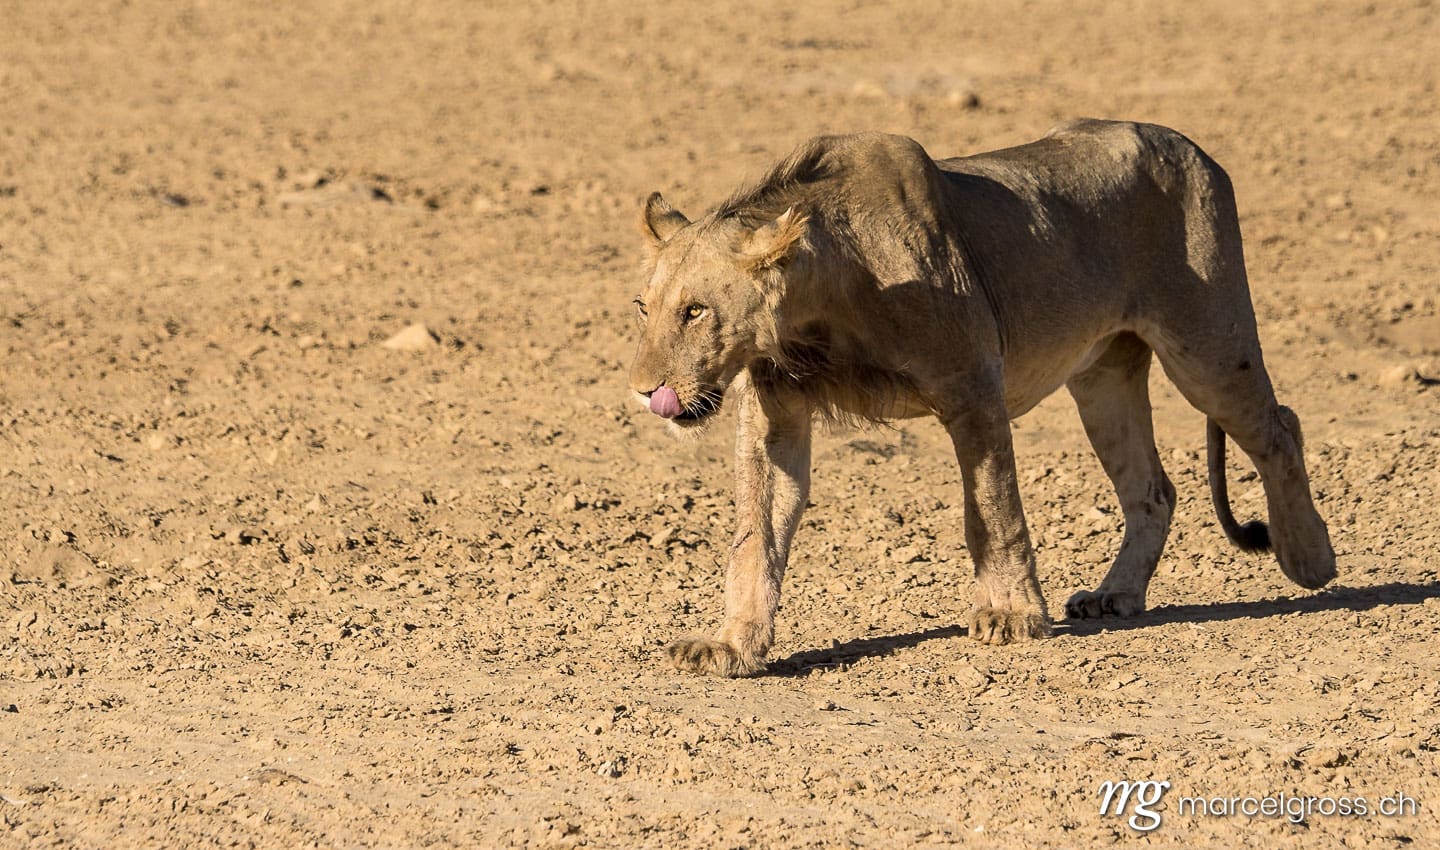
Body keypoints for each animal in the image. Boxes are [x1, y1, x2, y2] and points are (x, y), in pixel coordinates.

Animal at [628, 119, 1336, 677]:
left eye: (696, 310)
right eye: (645, 307)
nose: (643, 392)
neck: (818, 307)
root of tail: (1192, 146)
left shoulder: (973, 386)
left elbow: (993, 510)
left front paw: (1011, 615)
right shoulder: (775, 414)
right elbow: (757, 533)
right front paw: (732, 646)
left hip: (1207, 344)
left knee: (1279, 426)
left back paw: (1309, 559)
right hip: (1102, 377)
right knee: (1154, 489)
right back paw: (1115, 596)